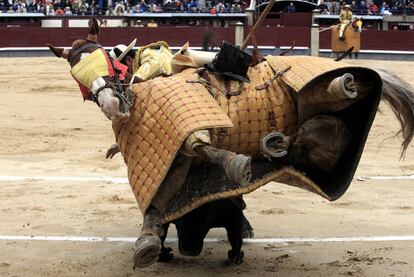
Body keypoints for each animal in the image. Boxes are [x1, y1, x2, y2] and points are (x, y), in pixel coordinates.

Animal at [47, 17, 414, 268]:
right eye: (77, 77)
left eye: (105, 61)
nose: (111, 105)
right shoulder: (169, 153)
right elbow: (161, 201)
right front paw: (152, 244)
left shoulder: (185, 131)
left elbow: (198, 146)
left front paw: (237, 166)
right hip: (319, 128)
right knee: (311, 136)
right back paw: (274, 144)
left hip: (314, 96)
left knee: (336, 96)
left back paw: (342, 86)